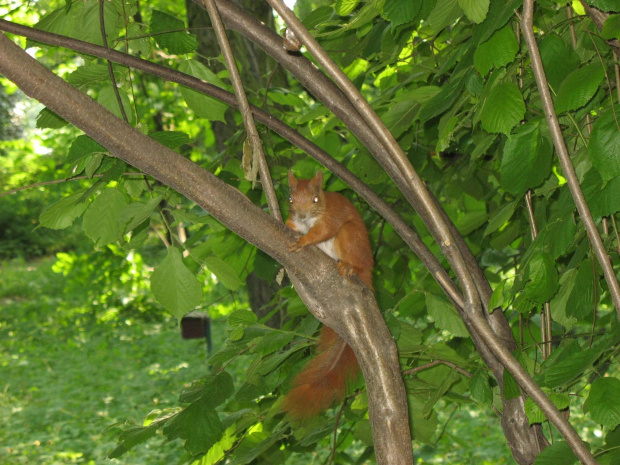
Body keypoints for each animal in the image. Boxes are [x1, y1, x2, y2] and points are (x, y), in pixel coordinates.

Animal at [282, 170, 372, 420]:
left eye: (315, 199)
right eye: (290, 199)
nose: (302, 215)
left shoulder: (331, 217)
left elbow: (321, 232)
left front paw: (303, 241)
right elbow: (291, 224)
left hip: (350, 236)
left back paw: (349, 267)